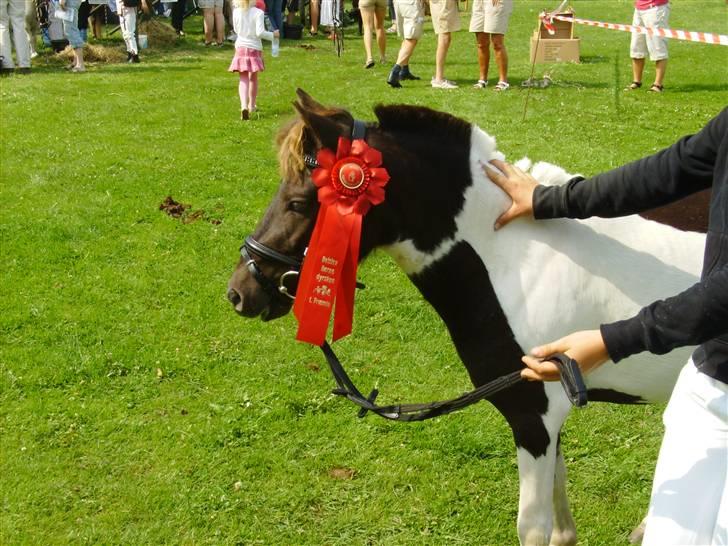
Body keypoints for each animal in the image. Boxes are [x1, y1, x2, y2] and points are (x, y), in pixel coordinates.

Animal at [226, 89, 707, 546]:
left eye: (298, 202)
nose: (240, 291)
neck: (515, 257)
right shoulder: (549, 414)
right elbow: (560, 507)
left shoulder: (533, 416)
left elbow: (533, 527)